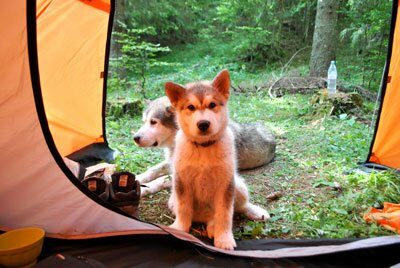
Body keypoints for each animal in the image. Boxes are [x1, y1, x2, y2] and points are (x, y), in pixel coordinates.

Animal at [164, 70, 270, 250]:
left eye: (212, 105)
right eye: (191, 107)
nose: (203, 124)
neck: (204, 148)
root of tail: (205, 217)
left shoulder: (225, 184)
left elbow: (225, 214)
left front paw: (224, 238)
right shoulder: (182, 181)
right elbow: (184, 209)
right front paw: (179, 229)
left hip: (237, 184)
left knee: (239, 207)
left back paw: (253, 212)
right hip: (173, 199)